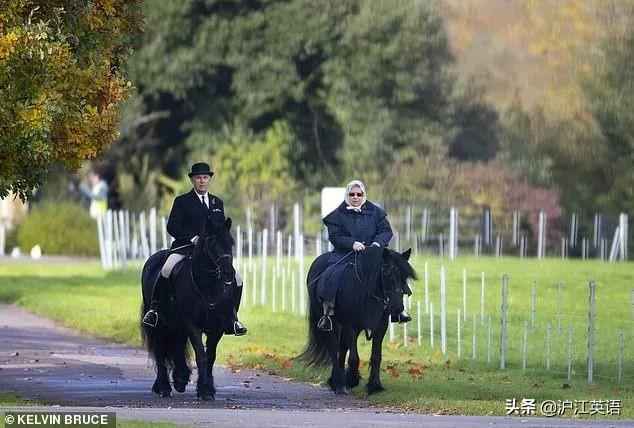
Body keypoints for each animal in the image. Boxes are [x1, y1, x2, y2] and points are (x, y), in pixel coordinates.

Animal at [140, 214, 237, 402]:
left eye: (231, 241)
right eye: (211, 240)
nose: (229, 273)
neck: (208, 286)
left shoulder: (217, 327)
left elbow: (210, 356)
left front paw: (208, 389)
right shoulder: (193, 326)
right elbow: (201, 357)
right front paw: (204, 391)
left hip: (176, 324)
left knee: (177, 344)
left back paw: (180, 378)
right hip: (159, 325)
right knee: (159, 351)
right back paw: (163, 387)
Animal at [300, 246, 418, 396]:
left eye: (405, 277)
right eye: (387, 275)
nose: (397, 307)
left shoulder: (381, 326)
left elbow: (376, 357)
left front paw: (375, 386)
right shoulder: (352, 325)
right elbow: (354, 357)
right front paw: (351, 379)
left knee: (341, 347)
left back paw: (335, 381)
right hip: (331, 322)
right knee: (333, 347)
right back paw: (340, 384)